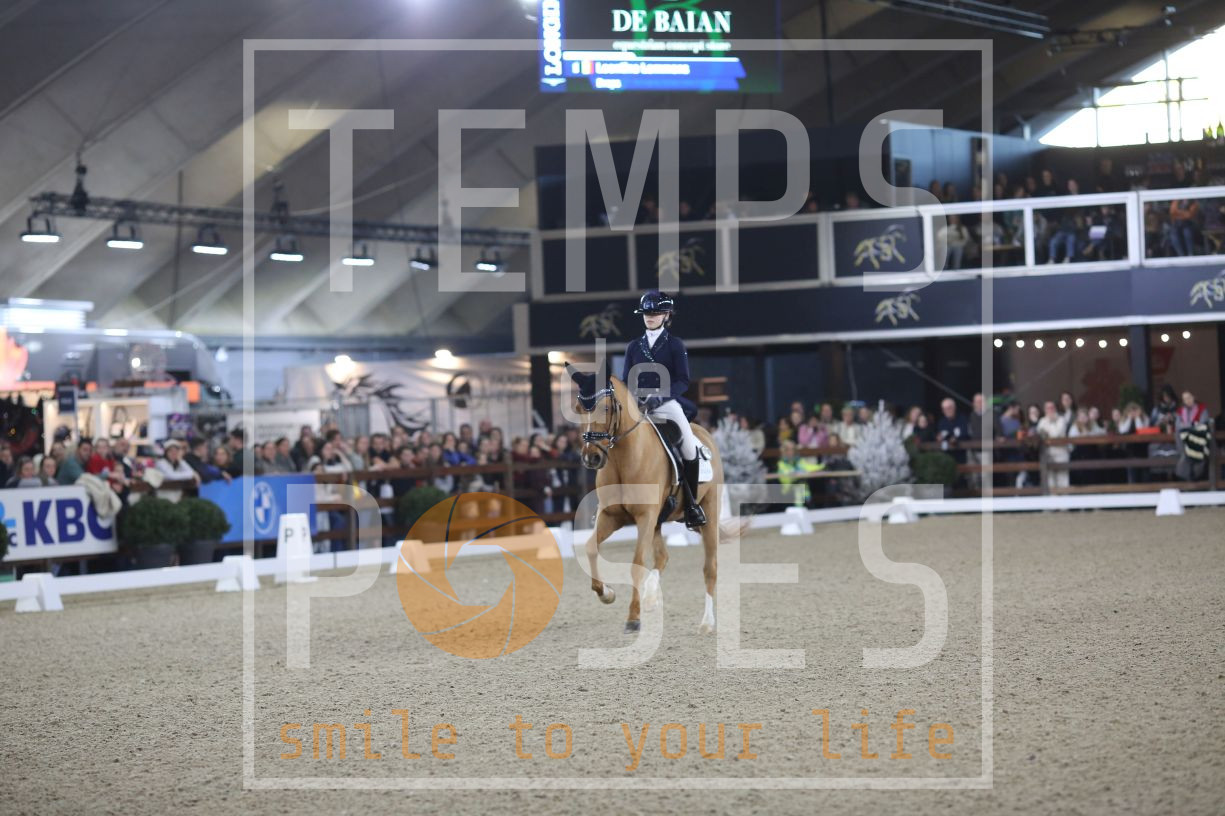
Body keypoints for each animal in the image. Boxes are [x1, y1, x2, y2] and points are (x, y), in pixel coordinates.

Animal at [566, 363, 722, 634]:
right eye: (578, 409)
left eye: (606, 407)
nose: (591, 458)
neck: (624, 459)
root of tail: (704, 432)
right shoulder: (612, 516)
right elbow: (591, 548)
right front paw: (606, 594)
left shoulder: (645, 517)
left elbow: (637, 563)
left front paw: (633, 618)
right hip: (658, 521)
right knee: (663, 557)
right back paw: (650, 597)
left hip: (708, 512)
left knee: (709, 568)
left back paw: (706, 623)